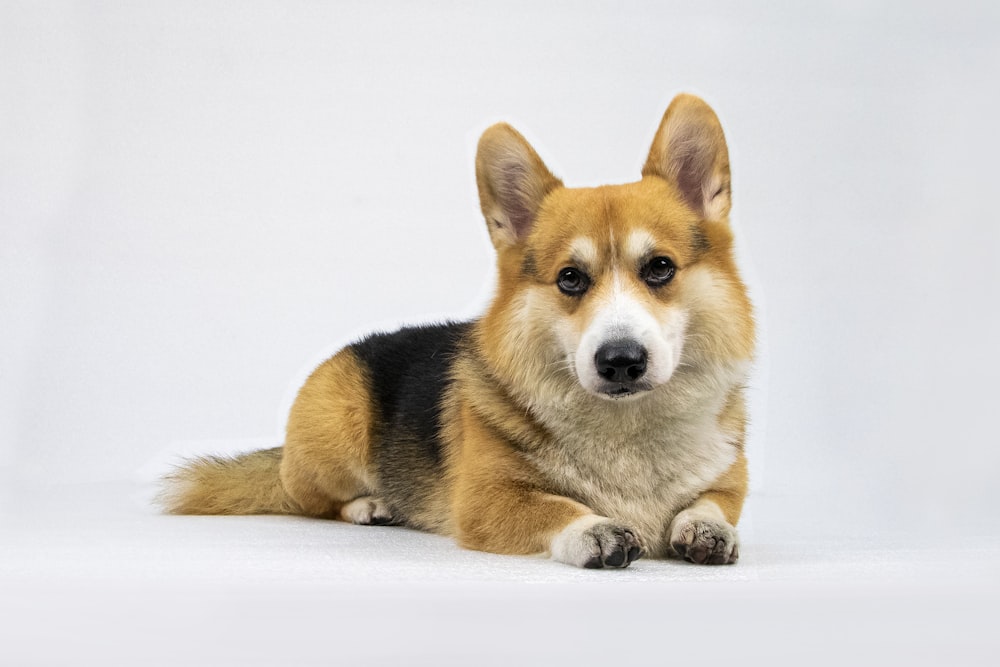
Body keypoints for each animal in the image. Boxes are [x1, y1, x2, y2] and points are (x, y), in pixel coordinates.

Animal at [164, 94, 752, 568]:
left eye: (660, 268)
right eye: (570, 278)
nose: (621, 360)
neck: (627, 428)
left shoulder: (730, 481)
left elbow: (712, 502)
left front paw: (705, 528)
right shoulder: (486, 499)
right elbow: (555, 507)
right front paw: (596, 529)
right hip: (335, 440)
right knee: (312, 502)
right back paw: (371, 504)